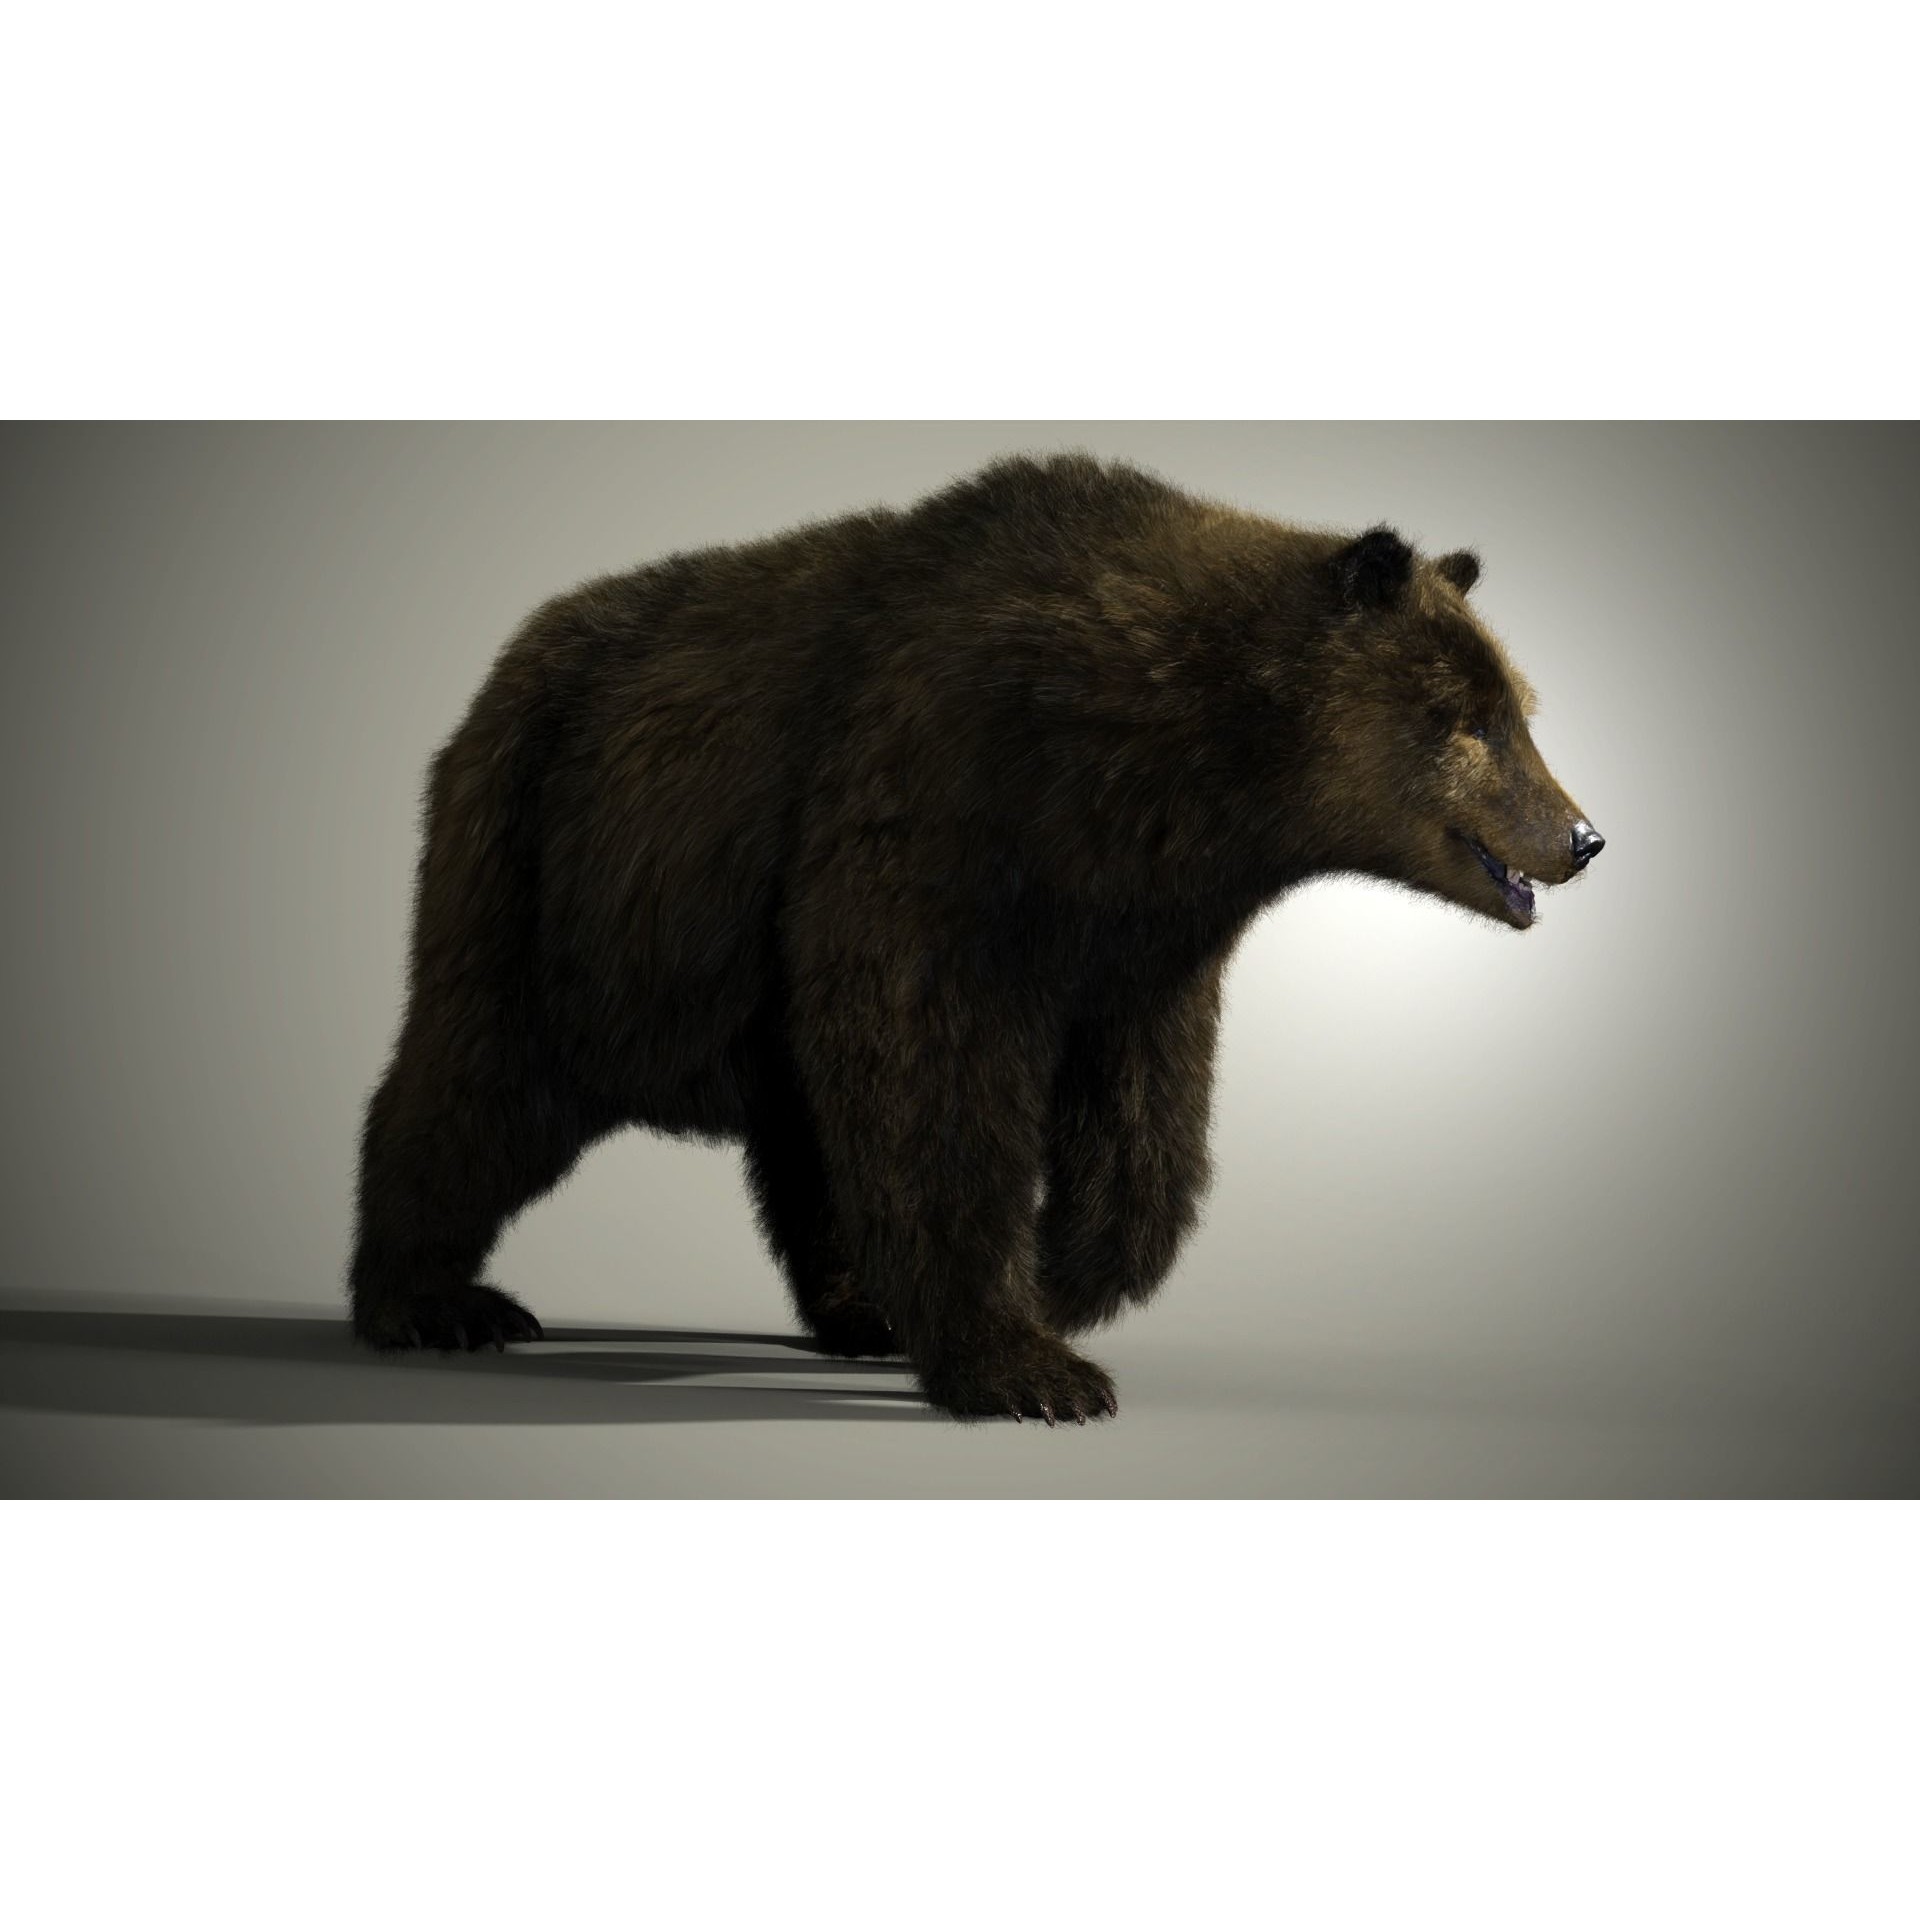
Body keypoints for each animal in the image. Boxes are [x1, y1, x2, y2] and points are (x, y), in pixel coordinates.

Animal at [347, 452, 1603, 1423]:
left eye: (1520, 707)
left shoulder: (1140, 921)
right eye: (1467, 720)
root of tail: (508, 663)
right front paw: (1034, 1369)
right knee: (481, 1078)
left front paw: (1067, 1274)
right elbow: (931, 1075)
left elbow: (1144, 1116)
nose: (1582, 838)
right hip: (546, 869)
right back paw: (432, 1302)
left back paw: (859, 1307)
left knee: (801, 1124)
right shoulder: (939, 808)